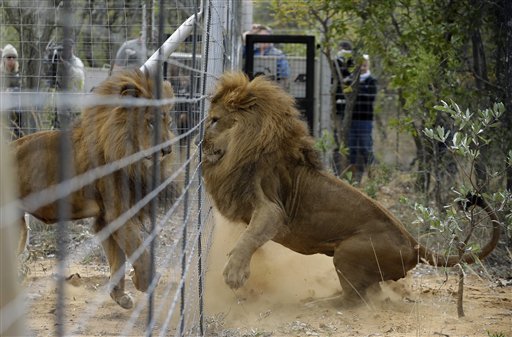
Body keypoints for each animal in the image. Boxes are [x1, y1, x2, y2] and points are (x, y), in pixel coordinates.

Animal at [14, 67, 178, 308]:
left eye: (168, 121)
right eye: (150, 122)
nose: (167, 151)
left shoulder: (105, 218)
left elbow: (118, 258)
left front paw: (120, 296)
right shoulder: (117, 213)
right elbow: (138, 249)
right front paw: (145, 282)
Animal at [201, 72, 500, 306]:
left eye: (215, 120)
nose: (200, 144)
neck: (242, 149)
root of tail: (413, 242)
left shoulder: (272, 208)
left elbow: (250, 237)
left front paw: (234, 274)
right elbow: (250, 237)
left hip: (347, 253)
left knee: (355, 300)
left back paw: (316, 303)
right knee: (370, 293)